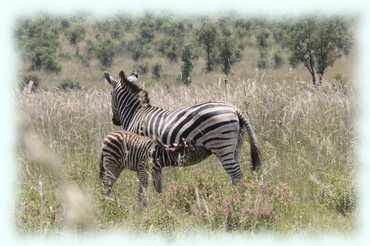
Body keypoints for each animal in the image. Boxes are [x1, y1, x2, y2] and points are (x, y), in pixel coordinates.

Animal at [102, 70, 262, 185]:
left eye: (110, 94)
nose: (114, 120)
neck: (136, 113)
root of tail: (235, 109)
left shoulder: (139, 150)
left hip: (222, 146)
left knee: (236, 174)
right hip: (234, 146)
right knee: (236, 175)